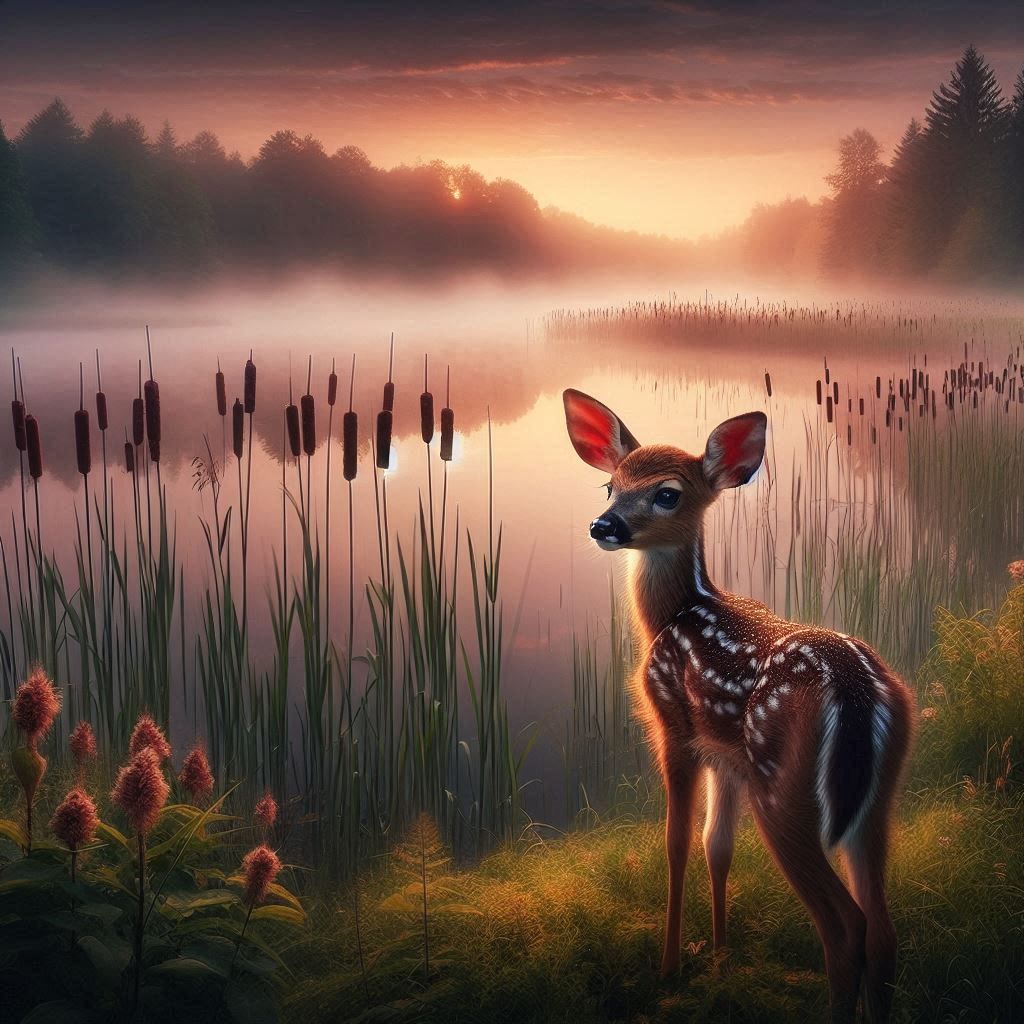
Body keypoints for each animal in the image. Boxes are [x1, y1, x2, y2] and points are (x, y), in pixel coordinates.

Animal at [562, 389, 914, 1024]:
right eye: (610, 486)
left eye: (667, 492)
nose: (604, 525)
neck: (672, 616)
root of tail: (857, 691)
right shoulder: (726, 756)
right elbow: (716, 848)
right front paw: (723, 959)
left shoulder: (673, 727)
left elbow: (677, 844)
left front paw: (671, 966)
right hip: (878, 796)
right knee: (883, 929)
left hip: (783, 791)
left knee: (845, 927)